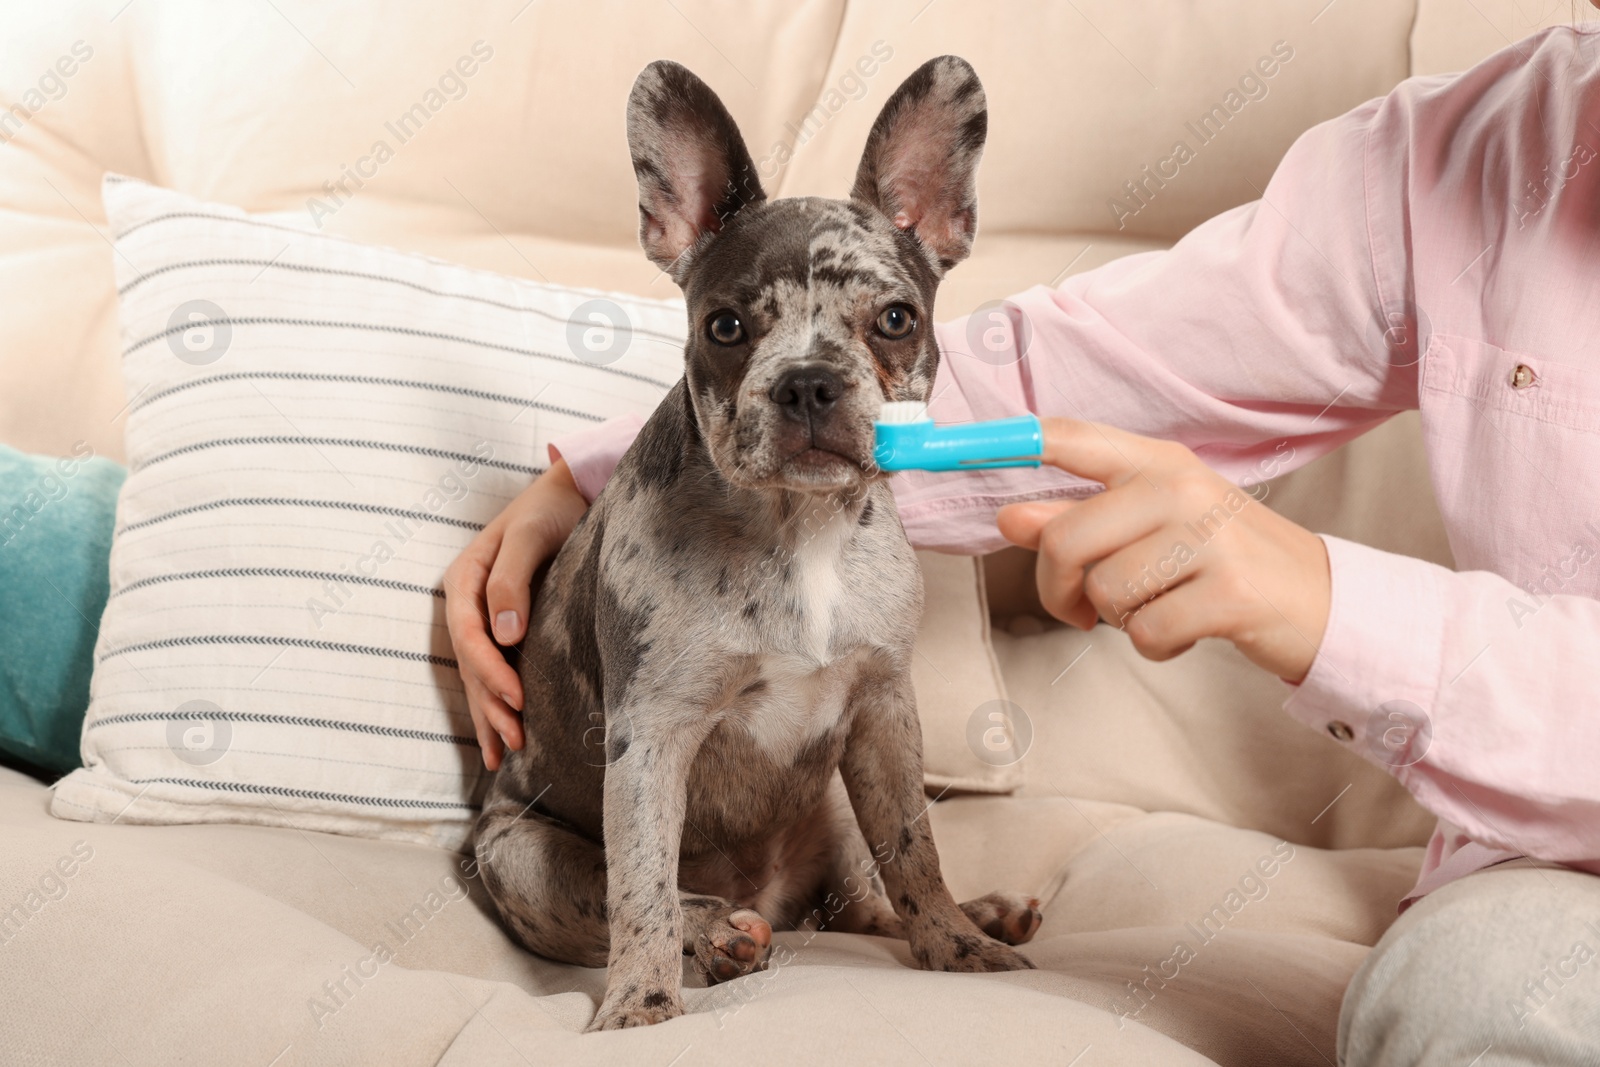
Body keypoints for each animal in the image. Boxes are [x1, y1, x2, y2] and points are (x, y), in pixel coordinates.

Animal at [470, 54, 1036, 1030]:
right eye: (724, 327)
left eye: (896, 319)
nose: (807, 381)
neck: (799, 527)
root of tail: (775, 899)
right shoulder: (652, 736)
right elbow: (642, 886)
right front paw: (640, 1006)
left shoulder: (884, 715)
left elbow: (915, 850)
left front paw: (959, 946)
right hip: (517, 856)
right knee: (641, 896)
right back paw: (719, 935)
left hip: (838, 799)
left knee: (868, 893)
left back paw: (981, 912)